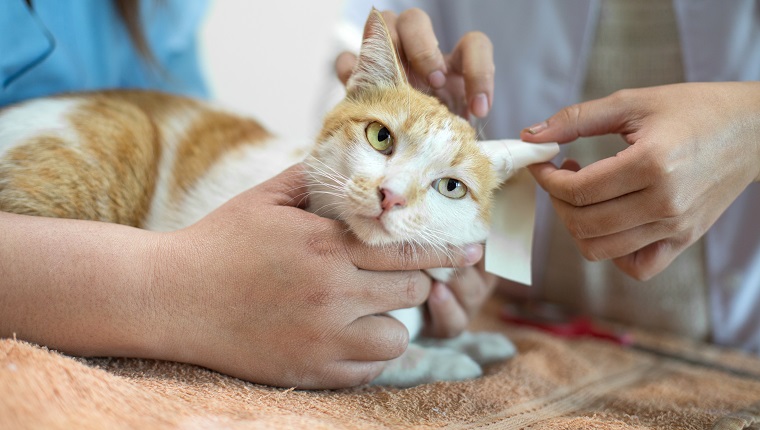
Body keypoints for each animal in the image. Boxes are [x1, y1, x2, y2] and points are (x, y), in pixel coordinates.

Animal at [0, 10, 528, 388]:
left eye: (450, 187)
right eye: (381, 137)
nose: (390, 195)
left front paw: (478, 342)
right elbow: (393, 355)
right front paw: (451, 360)